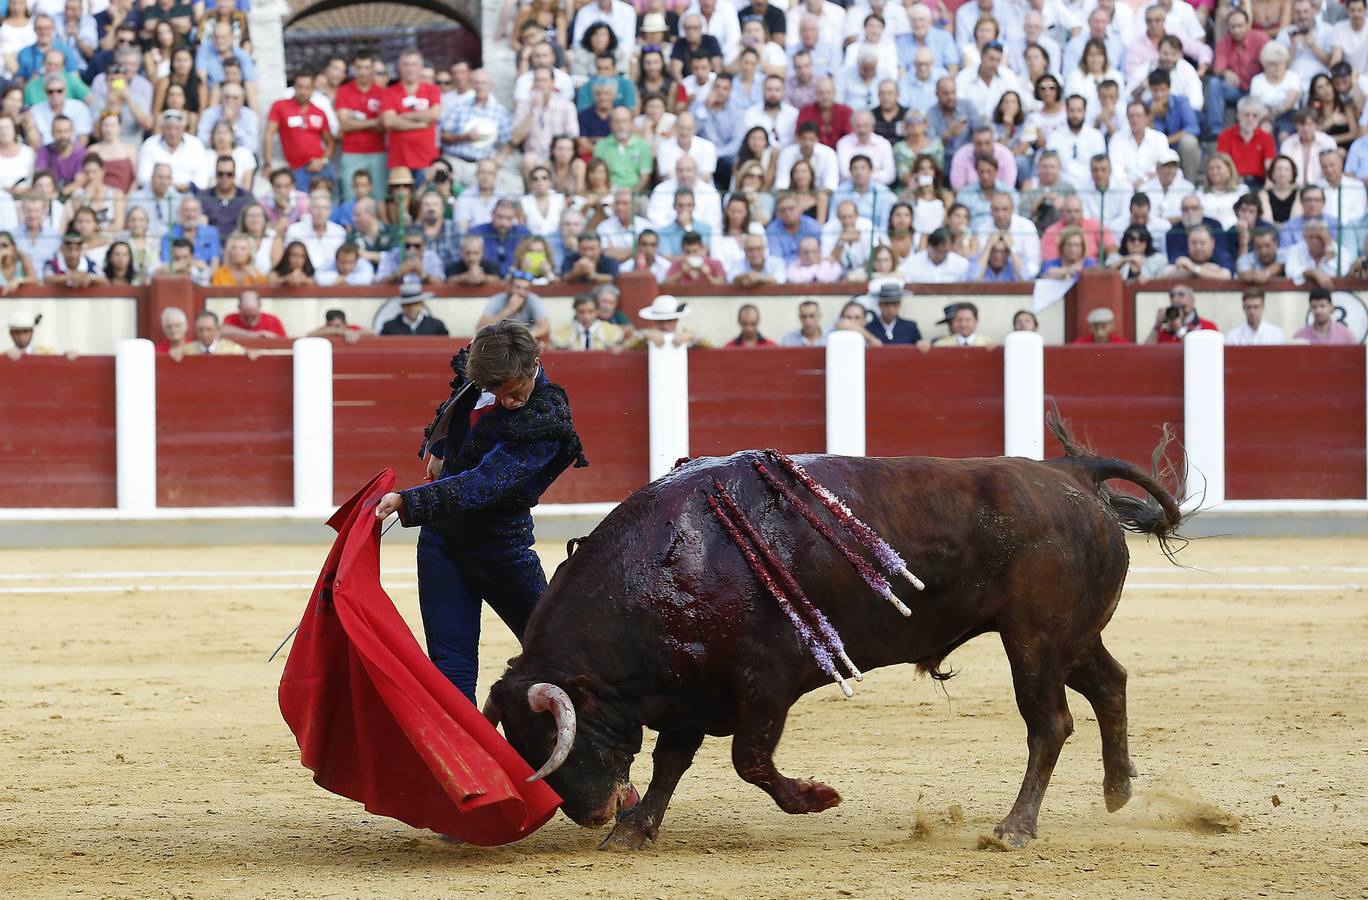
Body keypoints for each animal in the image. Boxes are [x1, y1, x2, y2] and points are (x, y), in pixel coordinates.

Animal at [487, 426, 1181, 848]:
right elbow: (670, 762)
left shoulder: (762, 684)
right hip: (1069, 637)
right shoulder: (692, 691)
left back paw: (1014, 827)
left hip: (1034, 641)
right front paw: (634, 830)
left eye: (559, 739)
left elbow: (749, 760)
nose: (591, 814)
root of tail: (1073, 474)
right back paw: (1118, 790)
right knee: (1109, 684)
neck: (674, 561)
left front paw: (818, 797)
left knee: (1051, 722)